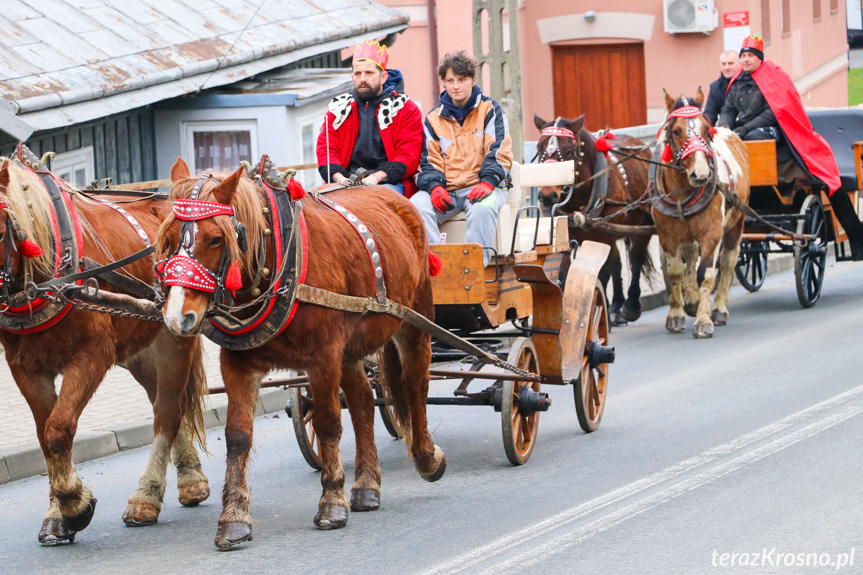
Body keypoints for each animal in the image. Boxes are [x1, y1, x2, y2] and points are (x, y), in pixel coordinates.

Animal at [0, 160, 208, 548]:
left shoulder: (91, 356)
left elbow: (58, 429)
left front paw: (74, 505)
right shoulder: (26, 369)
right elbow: (44, 436)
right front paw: (58, 514)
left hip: (175, 338)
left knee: (168, 413)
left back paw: (147, 497)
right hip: (140, 354)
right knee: (164, 402)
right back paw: (190, 480)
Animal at [156, 160, 448, 552]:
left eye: (216, 239)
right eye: (168, 238)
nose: (177, 317)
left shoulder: (322, 358)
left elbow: (327, 424)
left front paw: (332, 502)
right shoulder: (238, 365)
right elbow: (237, 436)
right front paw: (233, 518)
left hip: (414, 321)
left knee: (415, 384)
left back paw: (427, 458)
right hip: (350, 350)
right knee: (362, 401)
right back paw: (366, 483)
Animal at [532, 115, 656, 326]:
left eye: (568, 151)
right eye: (539, 147)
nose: (547, 196)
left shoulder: (603, 236)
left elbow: (602, 272)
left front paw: (596, 311)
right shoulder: (570, 237)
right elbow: (564, 272)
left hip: (641, 223)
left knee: (635, 257)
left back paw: (630, 305)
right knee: (617, 261)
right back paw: (616, 306)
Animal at [660, 89, 752, 338]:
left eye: (706, 129)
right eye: (676, 131)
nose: (701, 175)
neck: (683, 192)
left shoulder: (712, 233)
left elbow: (706, 273)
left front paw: (703, 319)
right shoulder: (668, 236)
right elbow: (675, 272)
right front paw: (676, 315)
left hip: (736, 222)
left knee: (728, 261)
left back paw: (718, 308)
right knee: (691, 256)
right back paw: (691, 300)